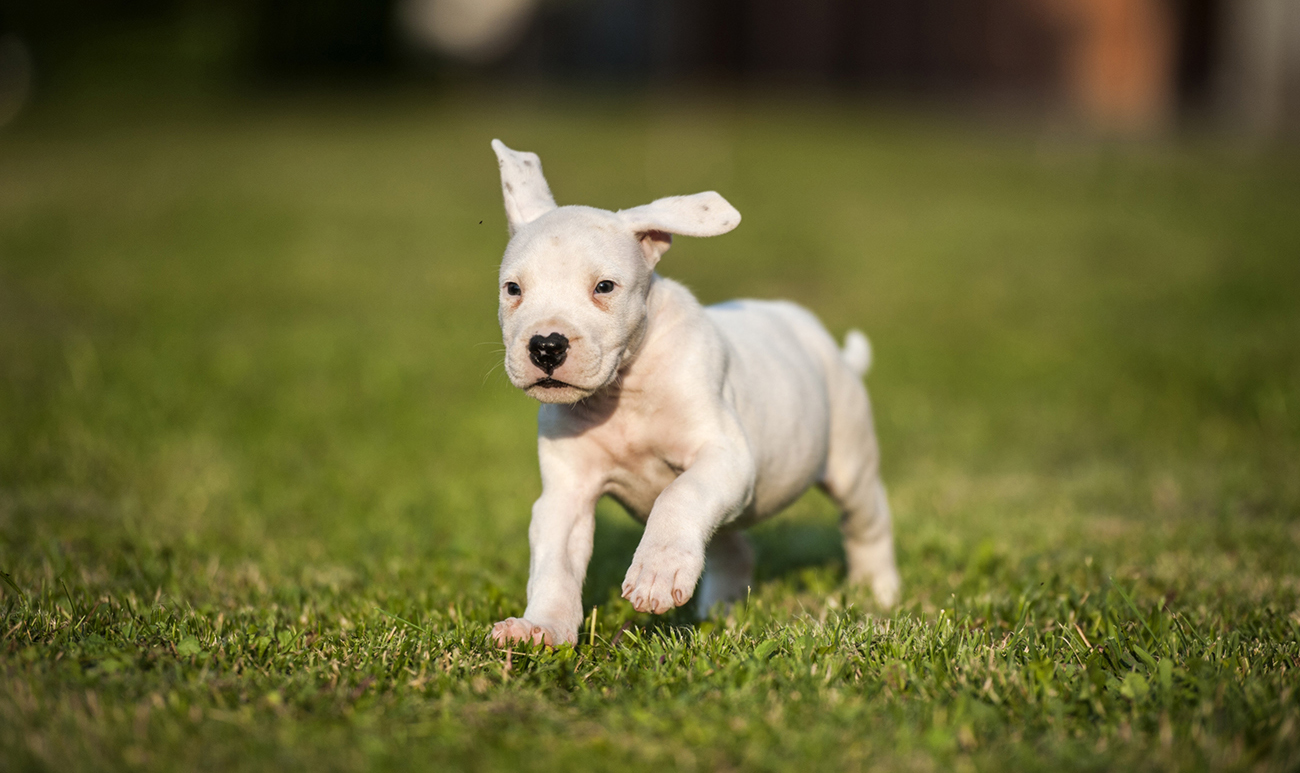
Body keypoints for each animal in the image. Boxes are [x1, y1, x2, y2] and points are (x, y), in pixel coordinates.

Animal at [488, 139, 904, 646]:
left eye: (604, 286)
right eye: (513, 289)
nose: (546, 346)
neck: (624, 390)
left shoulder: (725, 456)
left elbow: (678, 496)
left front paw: (655, 572)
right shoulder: (566, 494)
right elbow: (555, 564)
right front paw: (541, 629)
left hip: (849, 460)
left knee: (867, 522)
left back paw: (877, 591)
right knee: (732, 545)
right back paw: (720, 609)